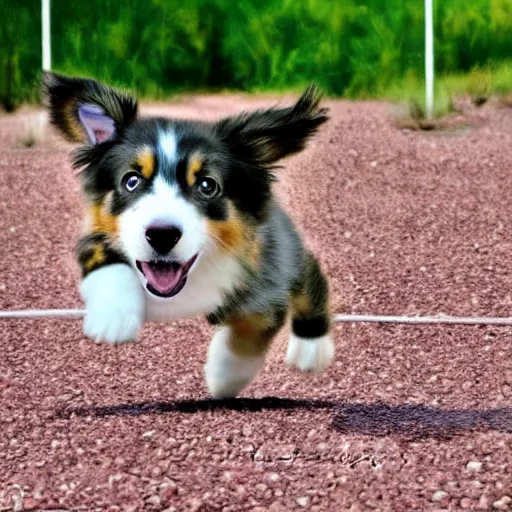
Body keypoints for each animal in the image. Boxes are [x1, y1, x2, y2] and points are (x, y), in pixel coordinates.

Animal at [41, 73, 336, 400]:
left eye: (207, 185)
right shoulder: (94, 235)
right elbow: (102, 257)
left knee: (307, 269)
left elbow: (256, 320)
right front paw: (112, 318)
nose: (162, 234)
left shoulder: (268, 263)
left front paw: (224, 376)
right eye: (131, 181)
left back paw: (311, 348)